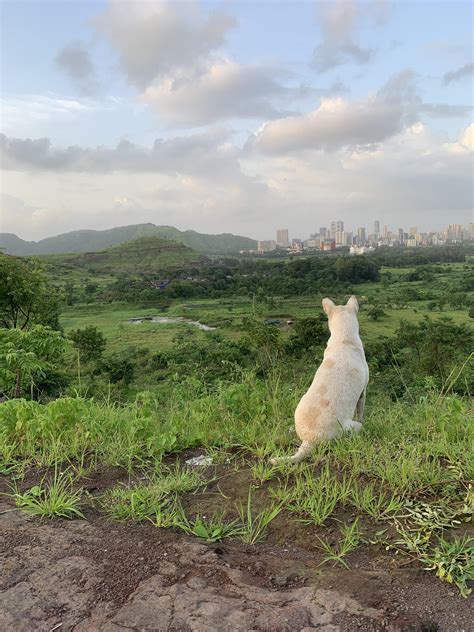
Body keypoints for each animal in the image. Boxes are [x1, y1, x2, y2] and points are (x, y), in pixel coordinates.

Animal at [272, 296, 368, 464]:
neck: (343, 338)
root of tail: (309, 441)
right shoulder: (363, 392)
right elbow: (361, 412)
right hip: (352, 427)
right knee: (357, 428)